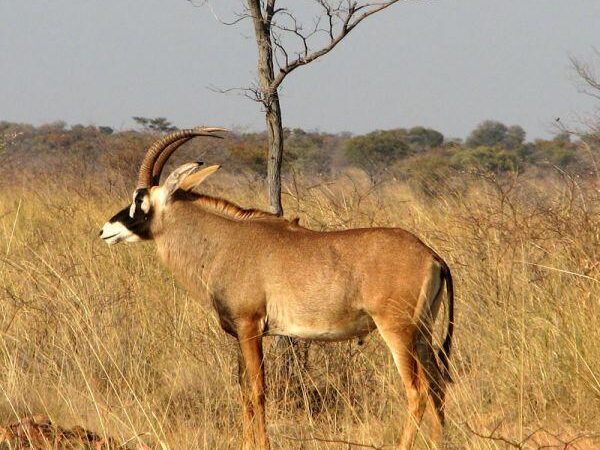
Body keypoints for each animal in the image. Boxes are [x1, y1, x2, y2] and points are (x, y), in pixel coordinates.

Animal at [99, 126, 454, 450]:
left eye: (139, 199)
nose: (105, 230)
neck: (223, 242)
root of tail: (431, 256)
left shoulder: (250, 326)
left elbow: (258, 391)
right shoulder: (240, 333)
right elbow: (244, 392)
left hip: (398, 331)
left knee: (417, 390)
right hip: (422, 333)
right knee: (437, 386)